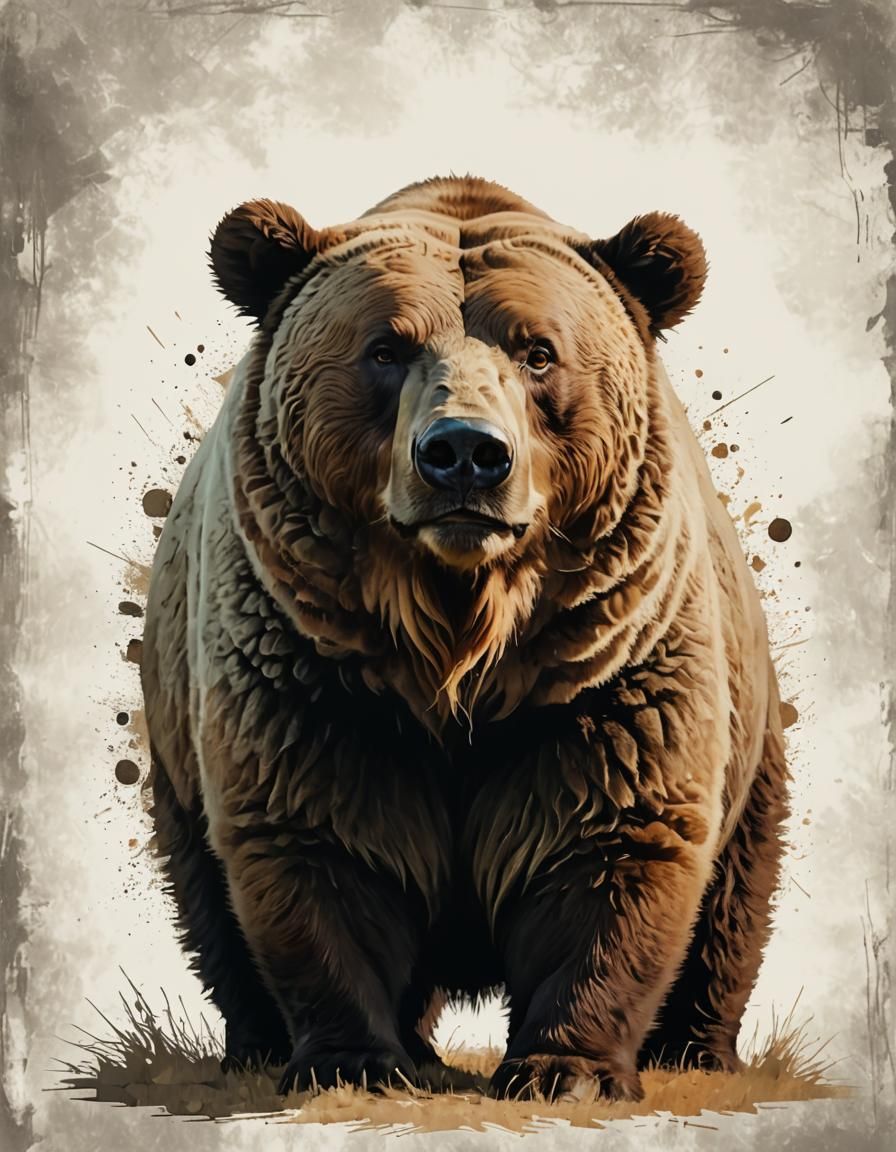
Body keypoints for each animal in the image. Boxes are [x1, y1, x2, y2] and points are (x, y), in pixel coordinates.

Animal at [141, 175, 789, 1103]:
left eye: (539, 352)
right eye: (385, 348)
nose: (464, 454)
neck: (459, 643)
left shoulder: (601, 672)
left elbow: (609, 838)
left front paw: (566, 1069)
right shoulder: (311, 670)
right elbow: (319, 841)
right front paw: (353, 1061)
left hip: (752, 728)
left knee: (734, 896)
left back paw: (695, 1049)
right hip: (176, 741)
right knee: (209, 900)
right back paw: (276, 1047)